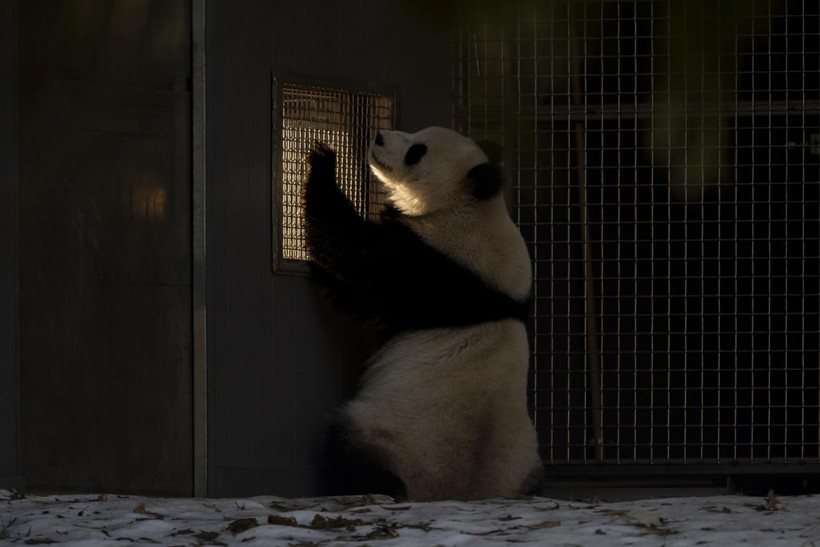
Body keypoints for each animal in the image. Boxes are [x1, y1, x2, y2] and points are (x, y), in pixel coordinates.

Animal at [302, 125, 544, 500]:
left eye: (416, 152)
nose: (379, 136)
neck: (470, 207)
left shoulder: (434, 266)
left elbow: (356, 257)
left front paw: (322, 162)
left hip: (388, 435)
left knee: (346, 449)